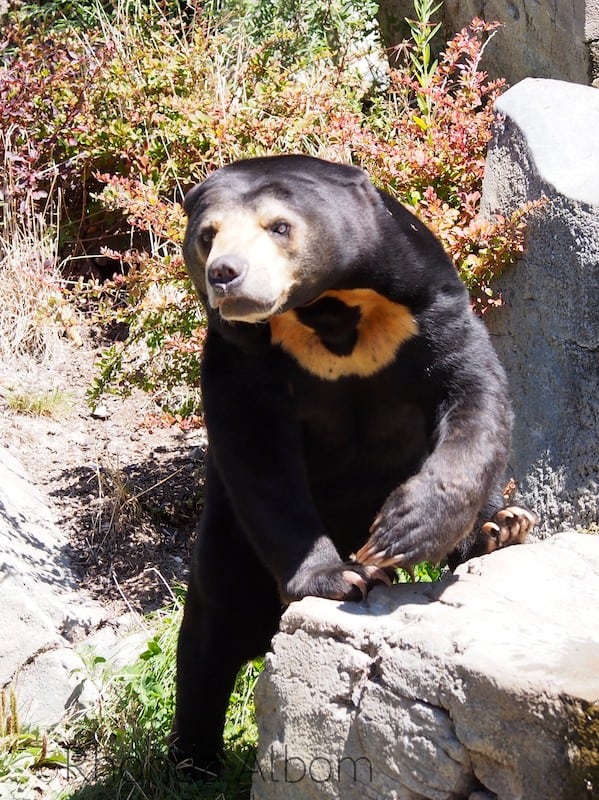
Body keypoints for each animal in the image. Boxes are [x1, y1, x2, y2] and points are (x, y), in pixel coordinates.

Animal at [172, 154, 538, 776]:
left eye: (279, 227)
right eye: (207, 235)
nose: (225, 274)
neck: (326, 310)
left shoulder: (426, 306)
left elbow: (472, 392)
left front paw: (402, 530)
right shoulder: (240, 357)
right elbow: (260, 459)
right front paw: (342, 576)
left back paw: (500, 529)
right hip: (228, 536)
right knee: (212, 631)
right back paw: (192, 761)